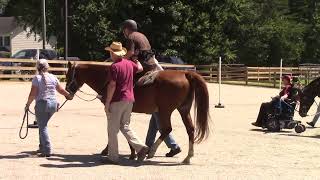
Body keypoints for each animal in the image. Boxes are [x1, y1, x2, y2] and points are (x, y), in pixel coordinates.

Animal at [64, 61, 210, 164]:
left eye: (68, 75)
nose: (67, 93)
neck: (106, 79)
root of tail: (185, 73)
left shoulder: (112, 110)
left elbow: (114, 129)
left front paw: (109, 151)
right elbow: (125, 128)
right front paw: (133, 152)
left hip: (165, 111)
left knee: (167, 129)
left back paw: (151, 151)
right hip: (183, 110)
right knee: (190, 129)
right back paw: (187, 157)